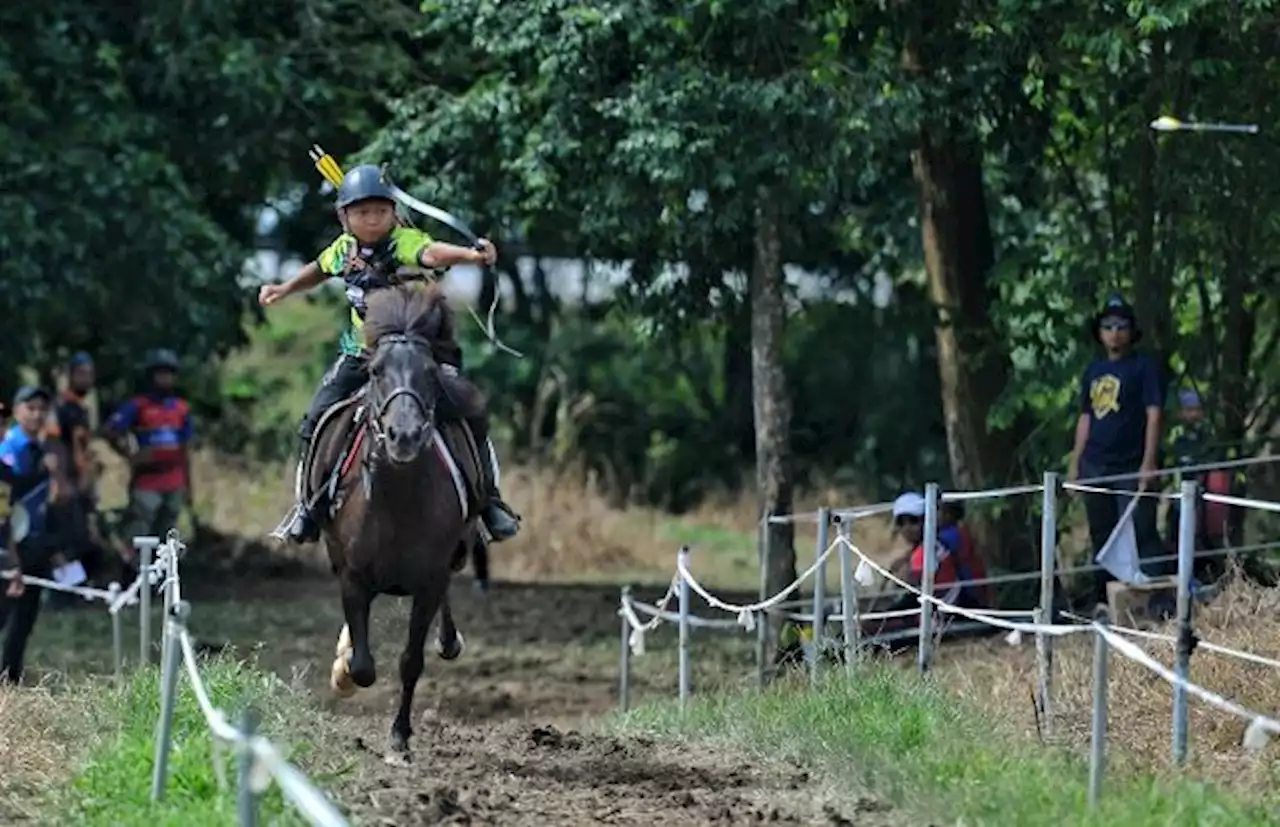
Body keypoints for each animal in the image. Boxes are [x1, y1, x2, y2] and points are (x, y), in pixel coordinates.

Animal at [313, 282, 483, 757]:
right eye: (375, 372)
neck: (398, 499)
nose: (404, 435)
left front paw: (399, 737)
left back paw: (449, 641)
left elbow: (411, 661)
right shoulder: (352, 575)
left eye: (429, 372)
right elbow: (363, 665)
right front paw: (344, 673)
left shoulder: (429, 580)